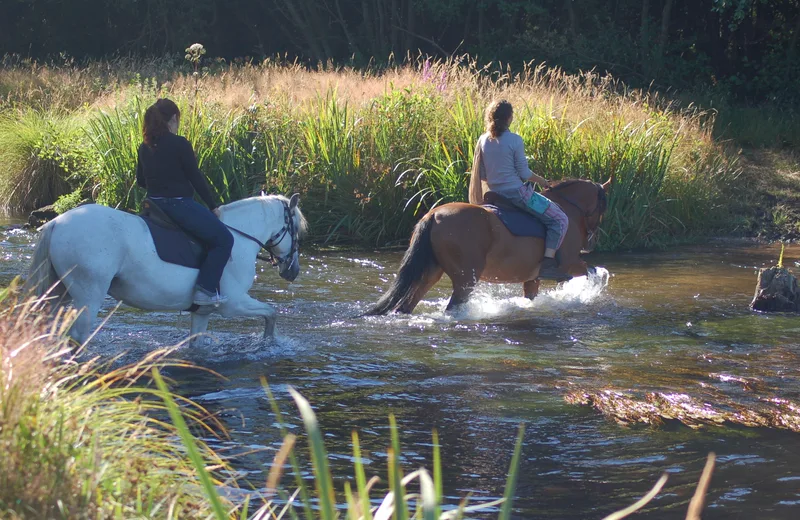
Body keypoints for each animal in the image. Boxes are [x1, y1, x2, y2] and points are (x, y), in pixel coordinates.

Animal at [25, 193, 306, 344]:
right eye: (296, 231)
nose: (292, 271)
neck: (240, 236)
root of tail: (58, 222)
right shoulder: (234, 304)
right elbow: (271, 313)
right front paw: (268, 344)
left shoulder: (203, 312)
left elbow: (197, 343)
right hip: (88, 296)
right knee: (77, 336)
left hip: (58, 292)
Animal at [366, 179, 608, 314]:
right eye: (602, 208)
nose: (591, 243)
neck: (568, 210)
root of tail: (433, 215)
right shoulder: (571, 264)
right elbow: (595, 271)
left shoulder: (533, 278)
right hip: (466, 279)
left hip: (431, 273)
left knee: (406, 305)